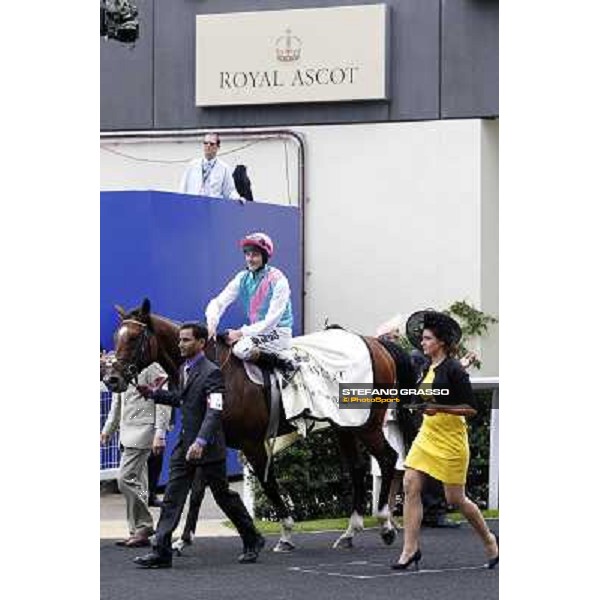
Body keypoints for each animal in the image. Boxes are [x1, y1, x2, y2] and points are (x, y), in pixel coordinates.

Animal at [103, 298, 414, 552]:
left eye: (134, 337)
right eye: (117, 337)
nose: (111, 379)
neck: (220, 371)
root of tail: (374, 343)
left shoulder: (251, 443)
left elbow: (268, 482)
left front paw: (285, 533)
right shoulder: (208, 438)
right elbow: (198, 490)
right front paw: (183, 538)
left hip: (367, 424)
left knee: (388, 458)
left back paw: (386, 524)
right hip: (344, 426)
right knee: (358, 468)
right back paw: (350, 532)